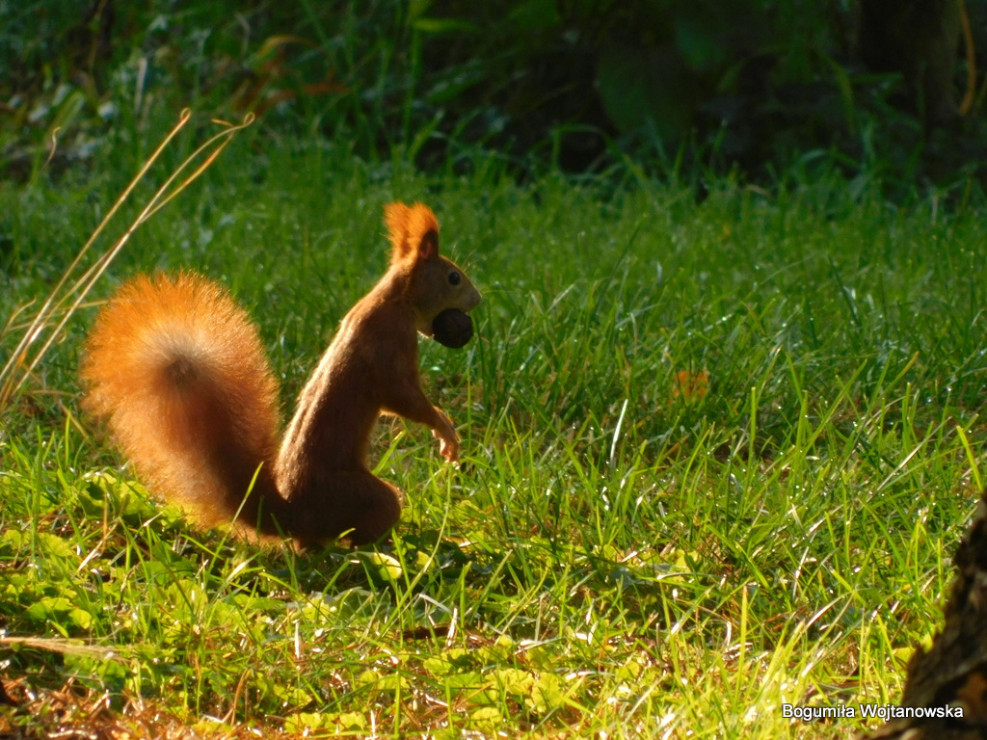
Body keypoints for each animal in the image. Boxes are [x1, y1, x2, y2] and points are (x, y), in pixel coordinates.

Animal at [83, 202, 484, 548]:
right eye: (453, 277)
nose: (478, 299)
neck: (394, 298)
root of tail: (292, 515)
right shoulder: (390, 346)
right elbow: (403, 398)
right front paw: (444, 429)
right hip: (360, 497)